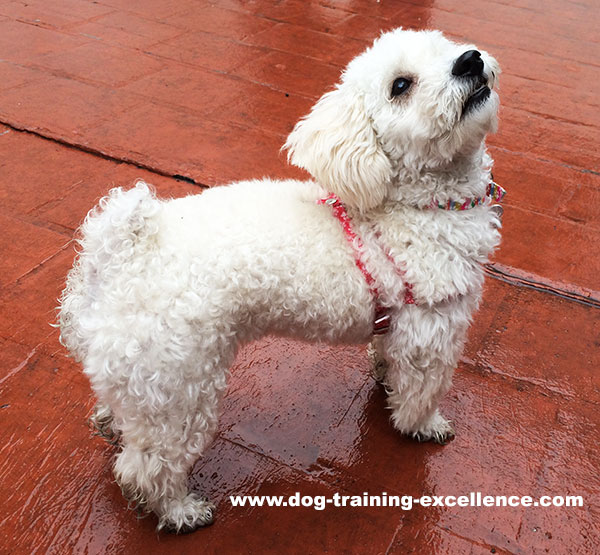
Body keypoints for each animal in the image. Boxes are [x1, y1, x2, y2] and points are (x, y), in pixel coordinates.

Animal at [59, 28, 502, 532]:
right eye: (401, 86)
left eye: (445, 45)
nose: (470, 61)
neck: (413, 207)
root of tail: (121, 253)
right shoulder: (431, 329)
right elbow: (420, 394)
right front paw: (423, 427)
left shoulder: (398, 323)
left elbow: (387, 357)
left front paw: (383, 376)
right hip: (178, 387)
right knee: (148, 465)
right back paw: (179, 511)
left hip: (136, 377)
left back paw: (111, 426)